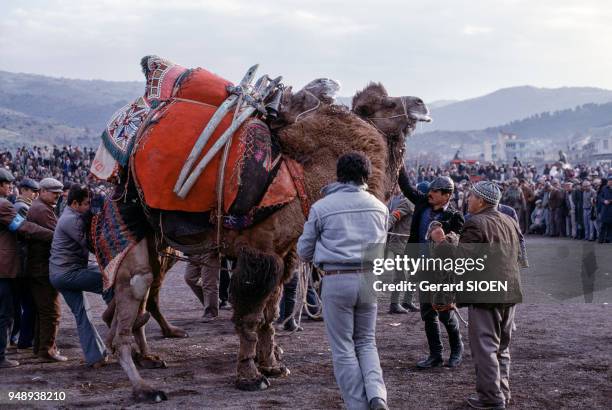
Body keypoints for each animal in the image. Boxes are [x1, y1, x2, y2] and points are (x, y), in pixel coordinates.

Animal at [97, 75, 430, 402]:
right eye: (388, 103)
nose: (420, 103)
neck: (305, 175)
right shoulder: (260, 252)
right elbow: (250, 317)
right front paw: (250, 376)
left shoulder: (283, 255)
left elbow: (270, 315)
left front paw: (272, 365)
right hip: (127, 223)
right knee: (133, 295)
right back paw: (144, 387)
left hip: (154, 238)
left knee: (135, 302)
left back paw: (148, 358)